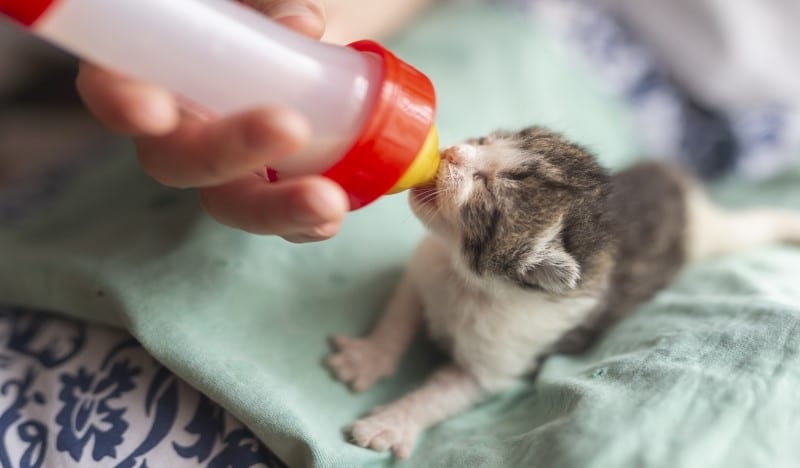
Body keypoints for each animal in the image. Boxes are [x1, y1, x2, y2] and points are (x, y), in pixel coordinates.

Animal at [324, 126, 800, 458]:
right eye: (483, 140)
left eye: (484, 188)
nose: (452, 150)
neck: (467, 281)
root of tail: (673, 181)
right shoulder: (424, 270)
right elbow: (399, 315)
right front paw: (369, 359)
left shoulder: (497, 360)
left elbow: (441, 395)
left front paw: (391, 423)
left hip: (707, 236)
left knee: (744, 228)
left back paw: (786, 225)